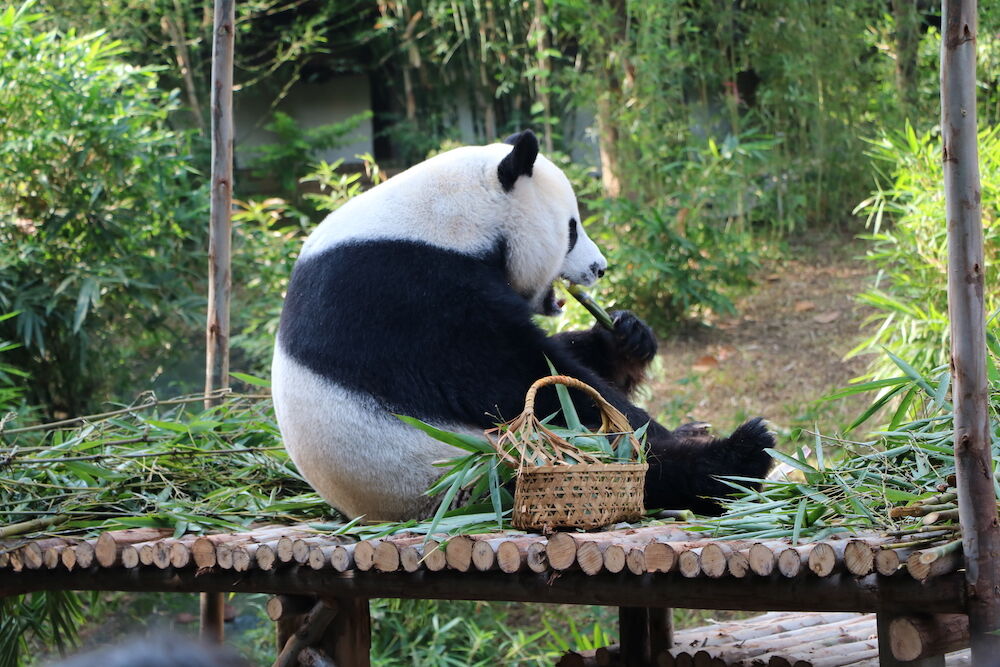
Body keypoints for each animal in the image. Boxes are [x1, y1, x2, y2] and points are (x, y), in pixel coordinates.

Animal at [268, 130, 772, 520]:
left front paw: (627, 336)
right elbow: (524, 377)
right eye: (572, 228)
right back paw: (737, 456)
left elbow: (563, 359)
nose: (600, 268)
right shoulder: (407, 295)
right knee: (626, 465)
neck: (446, 217)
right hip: (479, 472)